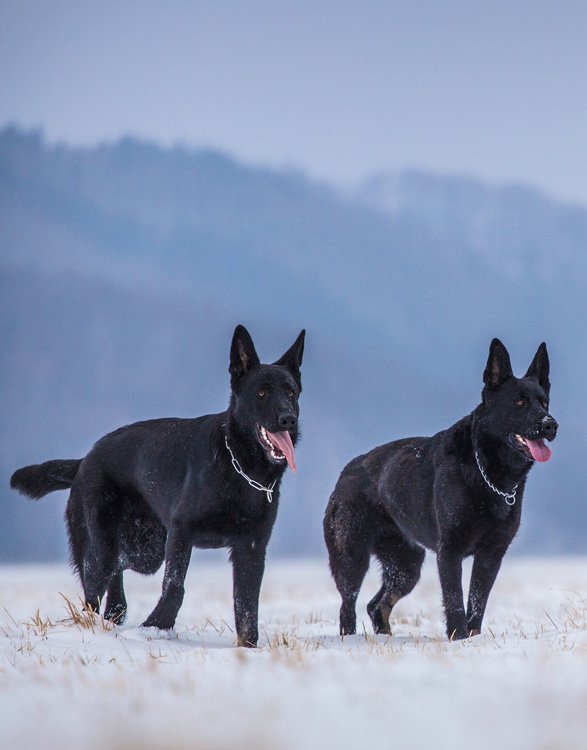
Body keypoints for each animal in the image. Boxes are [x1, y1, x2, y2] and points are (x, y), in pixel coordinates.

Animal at [11, 326, 306, 648]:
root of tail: (86, 459)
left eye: (291, 392)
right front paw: (157, 625)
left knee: (117, 575)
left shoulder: (251, 548)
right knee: (95, 582)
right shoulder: (181, 532)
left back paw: (113, 618)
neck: (242, 468)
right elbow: (175, 585)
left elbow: (247, 603)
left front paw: (248, 647)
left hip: (146, 549)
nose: (288, 419)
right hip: (107, 546)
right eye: (262, 393)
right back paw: (91, 625)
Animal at [324, 340, 560, 640]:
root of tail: (345, 472)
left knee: (376, 605)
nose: (550, 424)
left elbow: (477, 602)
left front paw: (472, 637)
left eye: (544, 402)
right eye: (519, 403)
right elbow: (455, 600)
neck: (487, 473)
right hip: (352, 559)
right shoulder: (450, 552)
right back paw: (351, 638)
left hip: (405, 568)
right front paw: (458, 638)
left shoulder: (491, 556)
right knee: (348, 605)